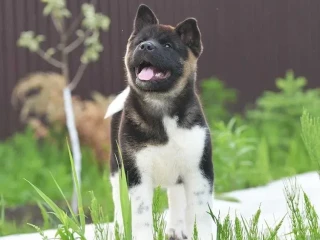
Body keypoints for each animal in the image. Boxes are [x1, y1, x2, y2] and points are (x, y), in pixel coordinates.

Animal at [107, 4, 215, 240]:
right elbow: (141, 217)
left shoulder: (198, 170)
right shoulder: (137, 175)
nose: (145, 47)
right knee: (119, 204)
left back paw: (176, 230)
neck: (162, 109)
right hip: (116, 170)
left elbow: (200, 214)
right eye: (140, 42)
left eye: (167, 46)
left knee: (176, 199)